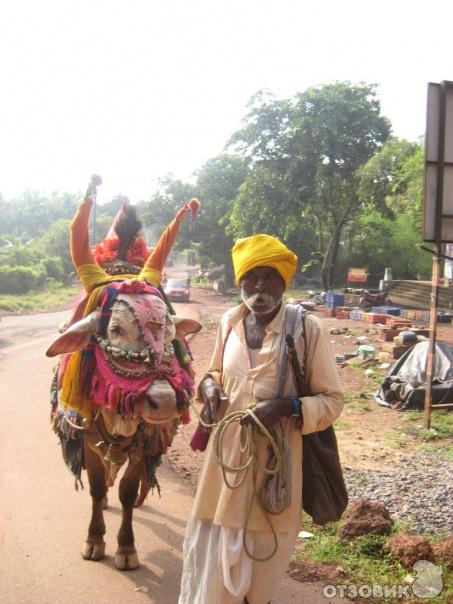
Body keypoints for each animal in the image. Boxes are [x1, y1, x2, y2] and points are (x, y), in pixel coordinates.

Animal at [46, 177, 200, 568]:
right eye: (114, 330)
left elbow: (129, 492)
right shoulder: (86, 439)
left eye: (170, 333)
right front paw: (94, 540)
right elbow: (97, 487)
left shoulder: (145, 444)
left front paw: (126, 547)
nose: (164, 402)